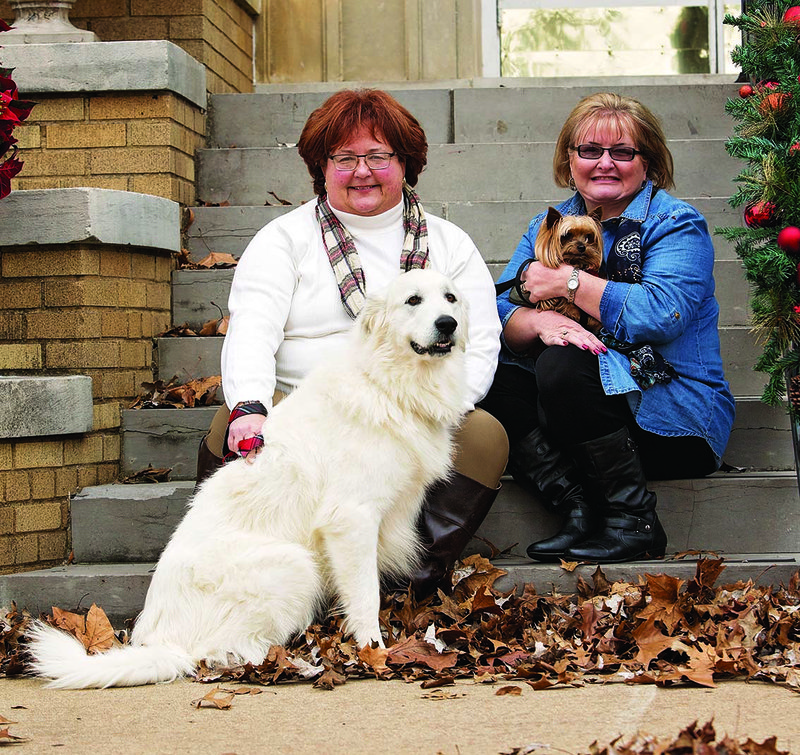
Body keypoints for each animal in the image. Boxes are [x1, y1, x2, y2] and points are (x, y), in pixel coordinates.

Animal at [25, 268, 468, 688]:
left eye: (450, 297)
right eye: (413, 300)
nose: (448, 324)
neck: (387, 382)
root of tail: (165, 644)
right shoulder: (351, 520)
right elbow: (365, 597)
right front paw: (374, 650)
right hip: (295, 565)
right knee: (228, 654)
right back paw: (298, 662)